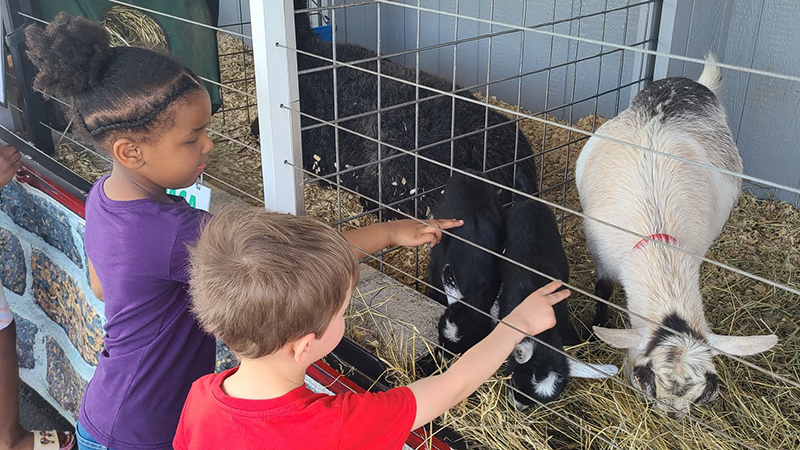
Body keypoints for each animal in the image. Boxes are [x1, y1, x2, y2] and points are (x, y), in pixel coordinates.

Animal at [580, 55, 780, 418]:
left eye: (706, 391)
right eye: (644, 376)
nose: (671, 415)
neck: (660, 246)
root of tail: (688, 82)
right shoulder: (600, 252)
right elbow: (602, 291)